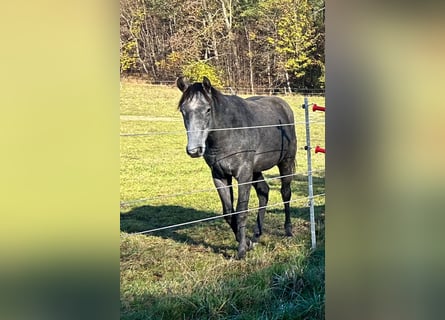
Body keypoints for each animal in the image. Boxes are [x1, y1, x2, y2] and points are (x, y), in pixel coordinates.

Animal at [176, 76, 294, 258]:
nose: (194, 150)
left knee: (285, 193)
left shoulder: (243, 176)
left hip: (285, 162)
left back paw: (288, 230)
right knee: (264, 192)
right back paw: (257, 235)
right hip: (256, 170)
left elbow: (241, 211)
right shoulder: (220, 176)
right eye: (183, 110)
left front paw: (241, 251)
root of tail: (283, 105)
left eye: (208, 110)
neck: (229, 131)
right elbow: (228, 213)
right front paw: (246, 243)